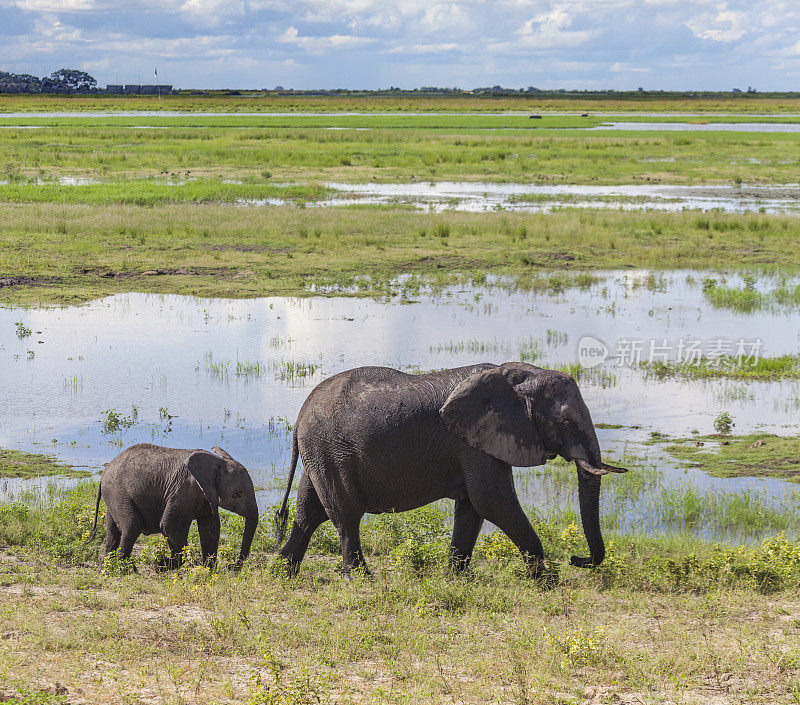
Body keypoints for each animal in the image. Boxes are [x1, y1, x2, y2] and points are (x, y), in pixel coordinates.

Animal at [90, 442, 260, 568]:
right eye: (236, 495)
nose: (232, 566)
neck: (218, 462)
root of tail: (104, 474)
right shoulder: (182, 490)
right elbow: (170, 525)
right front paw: (161, 565)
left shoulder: (206, 497)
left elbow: (210, 528)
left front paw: (208, 571)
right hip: (118, 493)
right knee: (132, 526)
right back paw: (124, 570)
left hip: (113, 497)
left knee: (113, 532)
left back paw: (107, 570)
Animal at [276, 364, 624, 576]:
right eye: (564, 421)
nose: (576, 560)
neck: (517, 375)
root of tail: (300, 413)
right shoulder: (473, 442)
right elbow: (492, 501)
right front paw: (546, 581)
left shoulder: (478, 441)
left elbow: (473, 507)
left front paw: (456, 578)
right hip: (331, 450)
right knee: (345, 516)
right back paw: (363, 580)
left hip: (320, 453)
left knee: (309, 512)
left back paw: (281, 571)